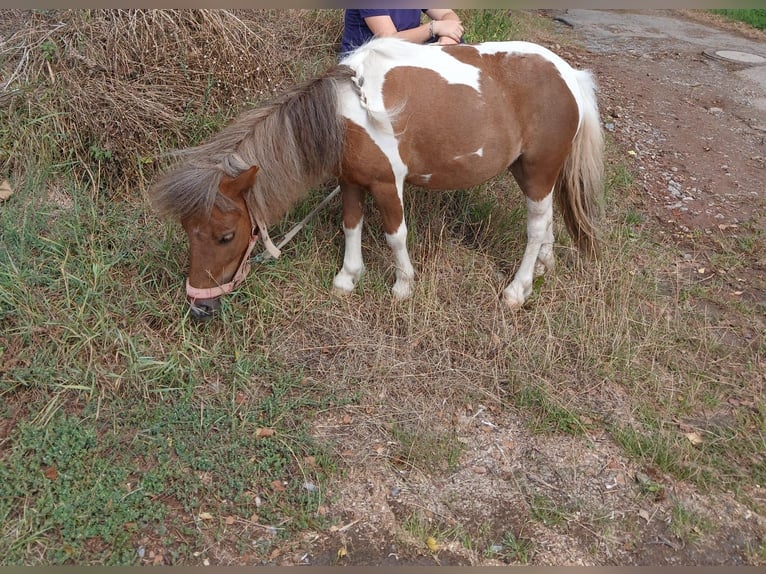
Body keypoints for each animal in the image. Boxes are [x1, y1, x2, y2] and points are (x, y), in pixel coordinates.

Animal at [149, 37, 604, 320]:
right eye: (188, 232)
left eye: (226, 235)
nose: (198, 306)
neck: (346, 114)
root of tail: (569, 75)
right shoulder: (351, 181)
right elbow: (350, 225)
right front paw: (347, 278)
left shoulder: (387, 185)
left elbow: (394, 235)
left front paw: (403, 286)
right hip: (529, 171)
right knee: (546, 220)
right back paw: (543, 267)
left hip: (539, 169)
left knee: (535, 226)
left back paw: (516, 290)